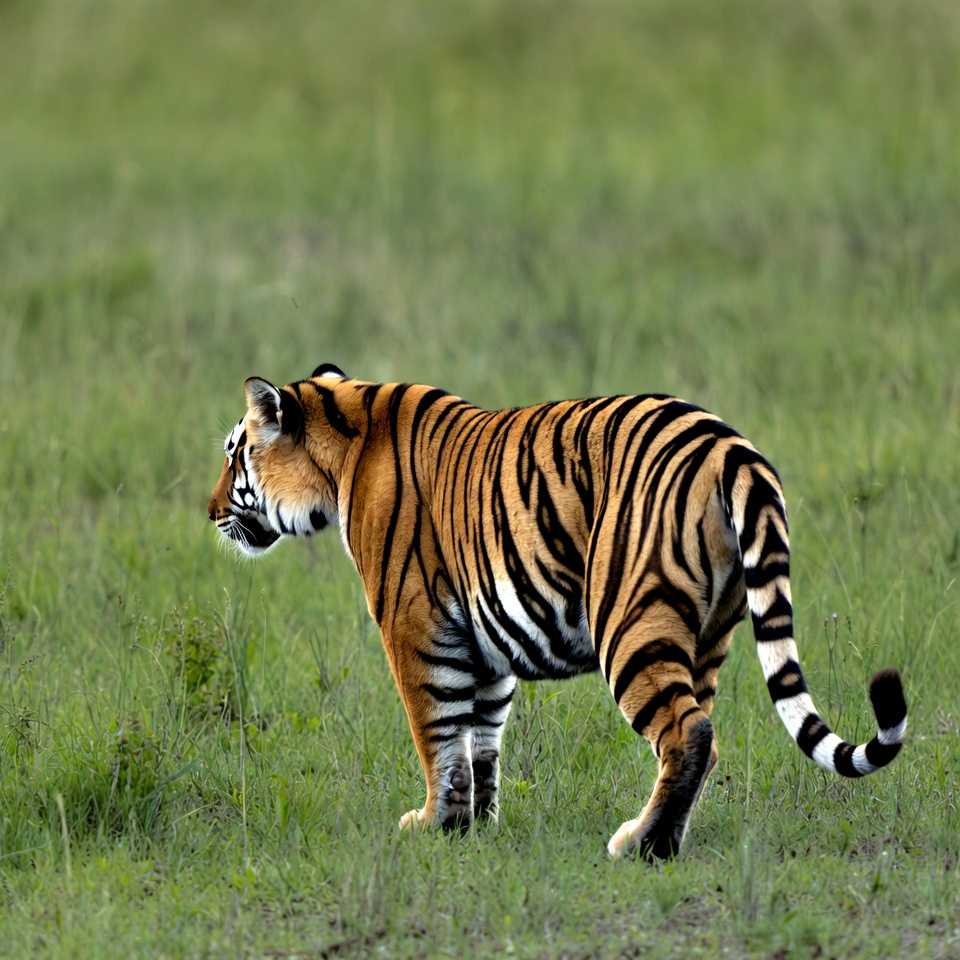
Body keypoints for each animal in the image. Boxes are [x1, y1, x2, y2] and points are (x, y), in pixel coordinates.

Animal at [207, 364, 907, 860]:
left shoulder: (414, 626)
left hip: (631, 620)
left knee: (688, 733)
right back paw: (662, 836)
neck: (344, 447)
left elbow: (438, 733)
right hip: (708, 632)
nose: (209, 509)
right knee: (701, 737)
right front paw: (476, 825)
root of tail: (729, 447)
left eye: (232, 452)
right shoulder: (483, 637)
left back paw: (643, 847)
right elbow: (480, 740)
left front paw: (433, 824)